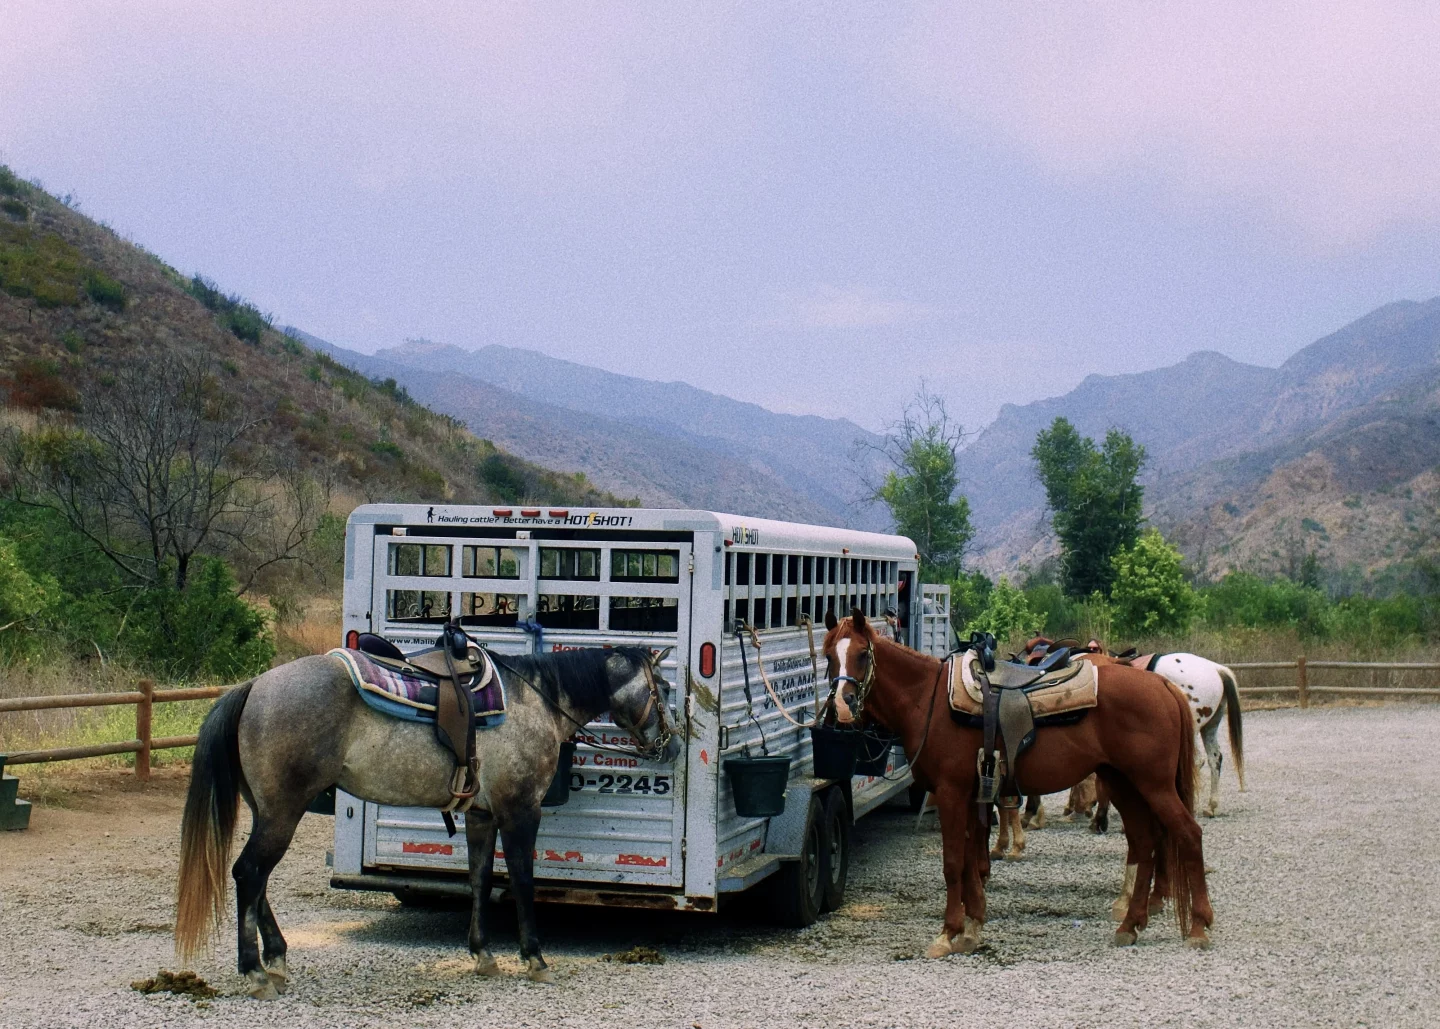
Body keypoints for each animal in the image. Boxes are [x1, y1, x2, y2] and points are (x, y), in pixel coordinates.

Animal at [174, 647, 679, 995]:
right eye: (666, 688)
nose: (672, 746)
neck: (533, 703)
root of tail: (254, 686)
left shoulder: (481, 815)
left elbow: (479, 880)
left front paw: (483, 954)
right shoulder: (520, 812)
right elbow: (521, 881)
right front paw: (534, 958)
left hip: (269, 811)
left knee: (256, 879)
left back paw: (276, 960)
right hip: (282, 812)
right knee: (248, 873)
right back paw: (256, 972)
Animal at [823, 607, 1215, 955]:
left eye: (862, 654)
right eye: (828, 655)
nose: (842, 705)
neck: (930, 701)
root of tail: (1162, 685)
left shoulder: (951, 793)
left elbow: (953, 863)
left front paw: (947, 933)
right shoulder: (972, 796)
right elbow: (971, 860)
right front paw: (972, 928)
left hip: (1154, 785)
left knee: (1187, 834)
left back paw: (1197, 926)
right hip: (1124, 784)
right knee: (1145, 841)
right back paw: (1130, 925)